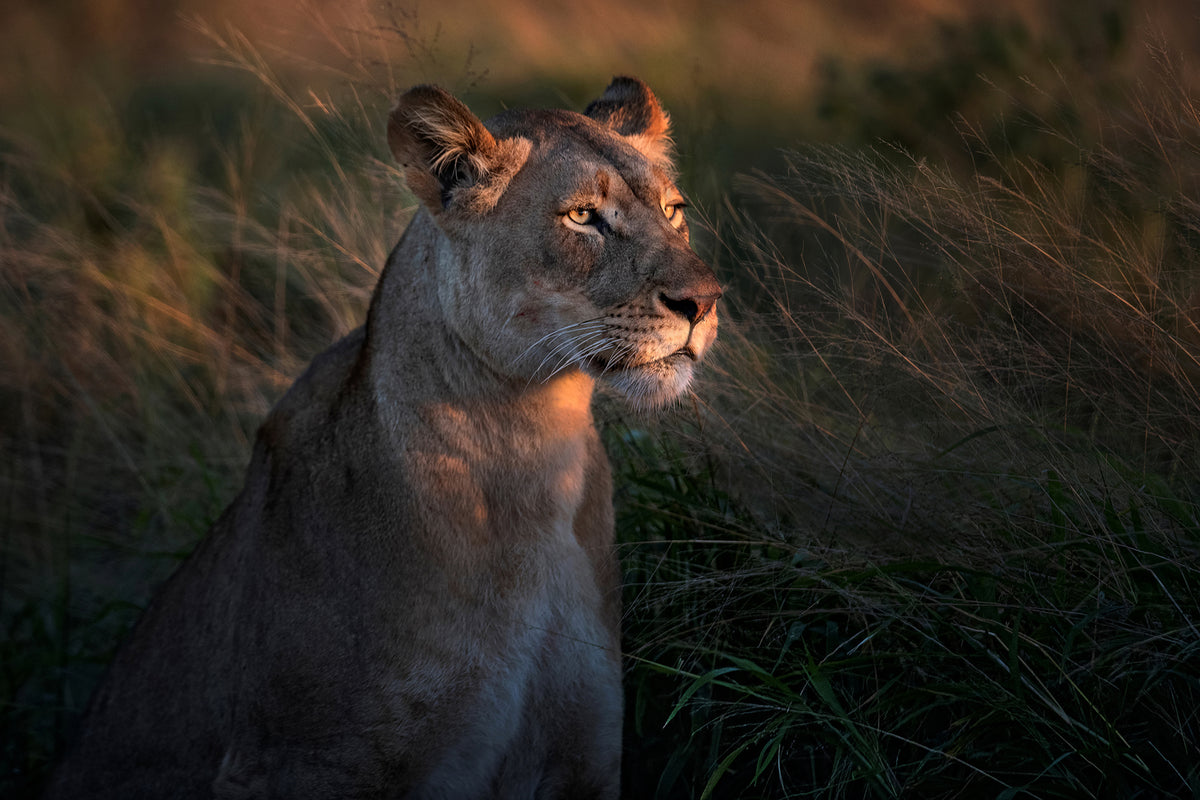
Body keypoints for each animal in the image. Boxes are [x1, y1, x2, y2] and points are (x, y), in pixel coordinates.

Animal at [44, 76, 720, 799]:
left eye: (674, 210)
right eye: (583, 217)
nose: (705, 301)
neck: (535, 443)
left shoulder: (584, 755)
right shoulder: (307, 764)